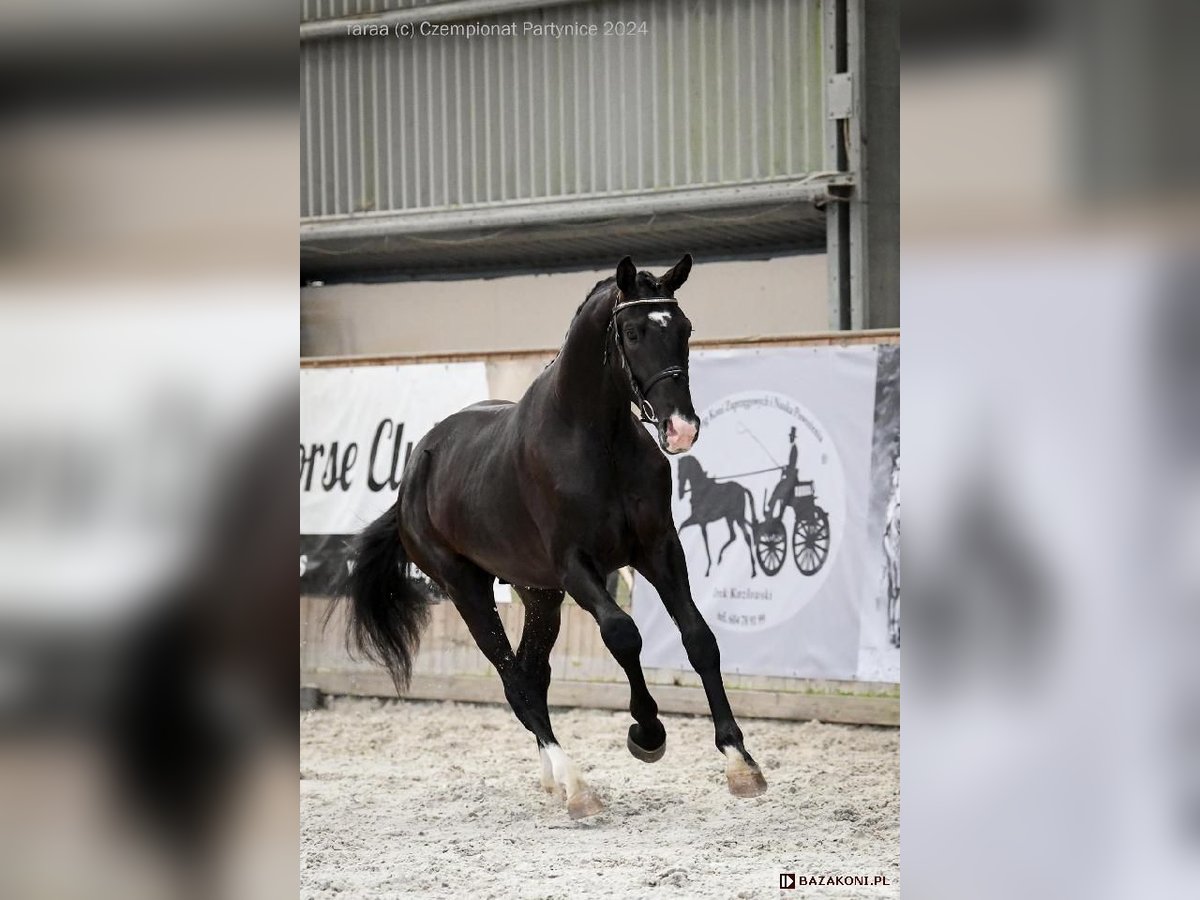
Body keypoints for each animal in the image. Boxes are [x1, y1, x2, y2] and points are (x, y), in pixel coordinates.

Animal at [338, 254, 768, 819]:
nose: (681, 428)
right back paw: (575, 785)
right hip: (467, 589)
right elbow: (623, 634)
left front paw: (740, 762)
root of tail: (413, 475)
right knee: (515, 681)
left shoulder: (658, 551)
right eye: (633, 332)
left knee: (533, 673)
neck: (597, 441)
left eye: (685, 328)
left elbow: (699, 638)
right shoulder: (576, 566)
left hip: (538, 594)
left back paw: (553, 781)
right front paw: (647, 733)